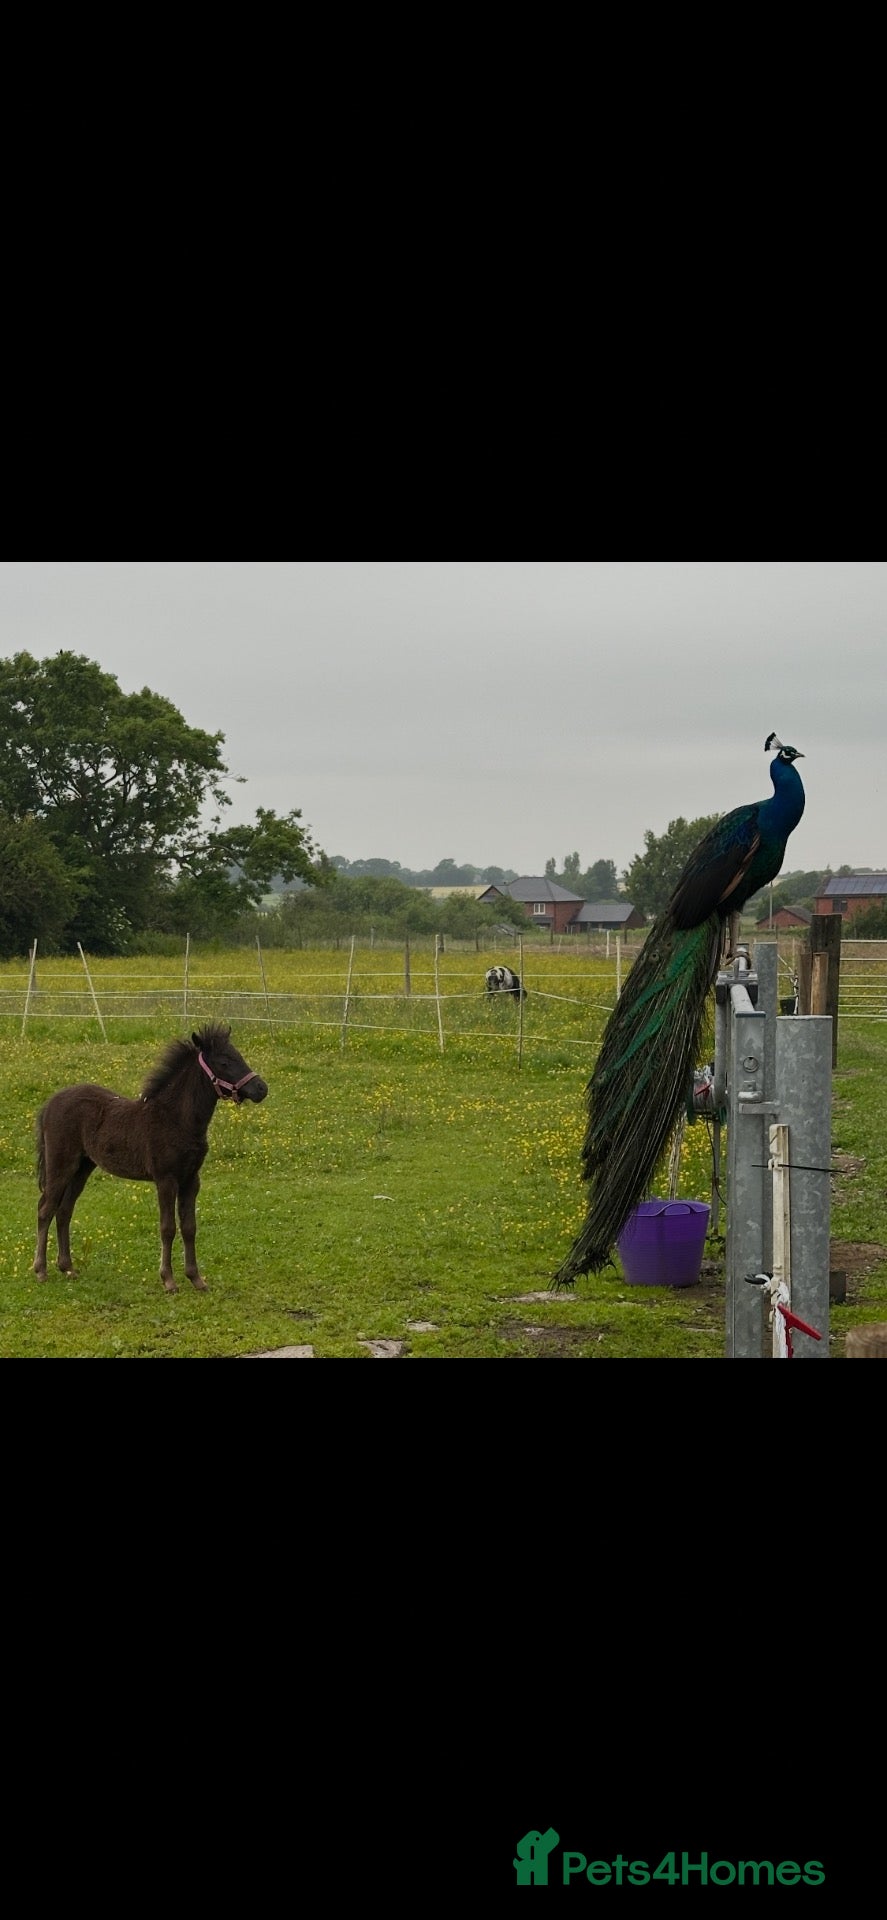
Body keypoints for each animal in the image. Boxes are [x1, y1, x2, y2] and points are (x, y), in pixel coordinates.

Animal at [33, 1022, 268, 1294]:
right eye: (224, 1061)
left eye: (238, 1055)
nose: (261, 1088)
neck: (176, 1119)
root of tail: (50, 1103)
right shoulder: (165, 1179)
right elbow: (168, 1228)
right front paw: (169, 1280)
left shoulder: (191, 1180)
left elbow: (189, 1227)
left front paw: (196, 1279)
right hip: (61, 1164)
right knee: (46, 1208)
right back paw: (41, 1270)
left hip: (82, 1167)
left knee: (64, 1210)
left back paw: (68, 1268)